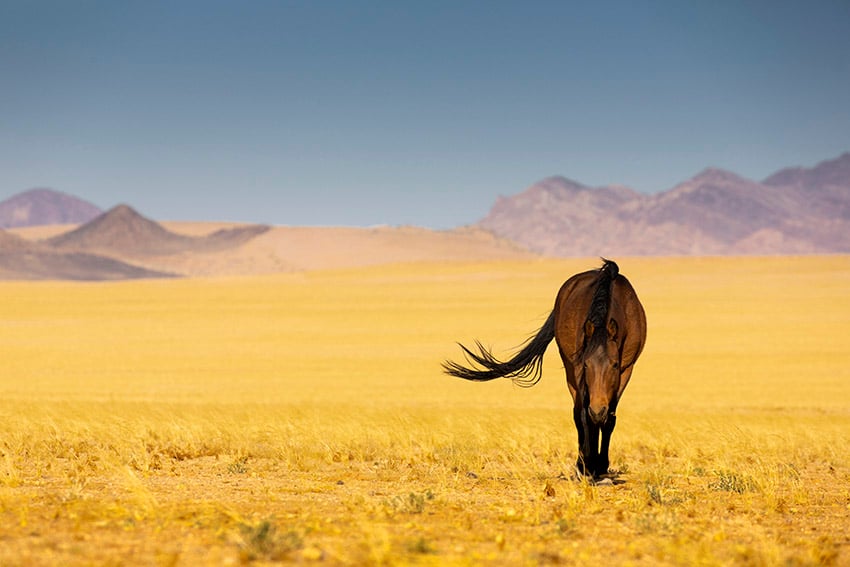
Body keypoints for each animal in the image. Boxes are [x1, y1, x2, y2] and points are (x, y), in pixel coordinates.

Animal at [444, 260, 644, 480]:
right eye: (586, 364)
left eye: (614, 365)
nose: (598, 409)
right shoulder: (577, 368)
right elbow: (584, 415)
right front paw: (588, 465)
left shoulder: (626, 370)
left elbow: (609, 419)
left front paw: (601, 465)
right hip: (569, 370)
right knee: (578, 413)